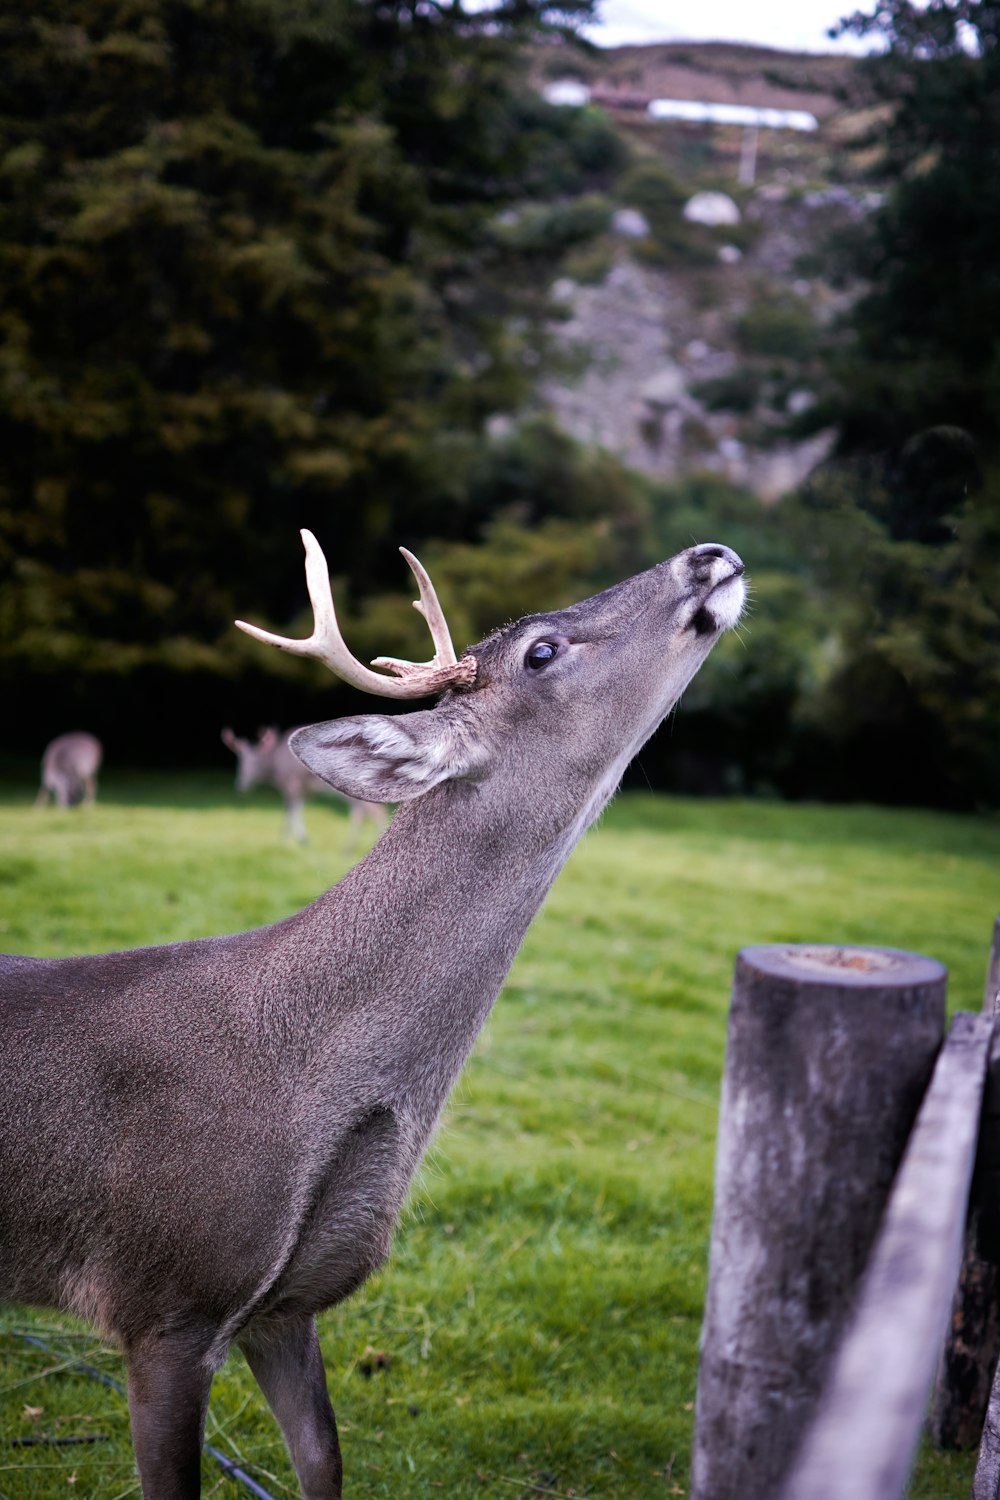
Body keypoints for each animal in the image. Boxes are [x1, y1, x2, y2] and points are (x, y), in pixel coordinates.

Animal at [220, 723, 389, 846]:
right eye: (239, 763)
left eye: (254, 762)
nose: (240, 784)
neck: (275, 769)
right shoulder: (306, 789)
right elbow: (298, 809)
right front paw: (294, 838)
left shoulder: (290, 782)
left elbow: (290, 810)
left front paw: (291, 839)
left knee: (368, 811)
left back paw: (351, 846)